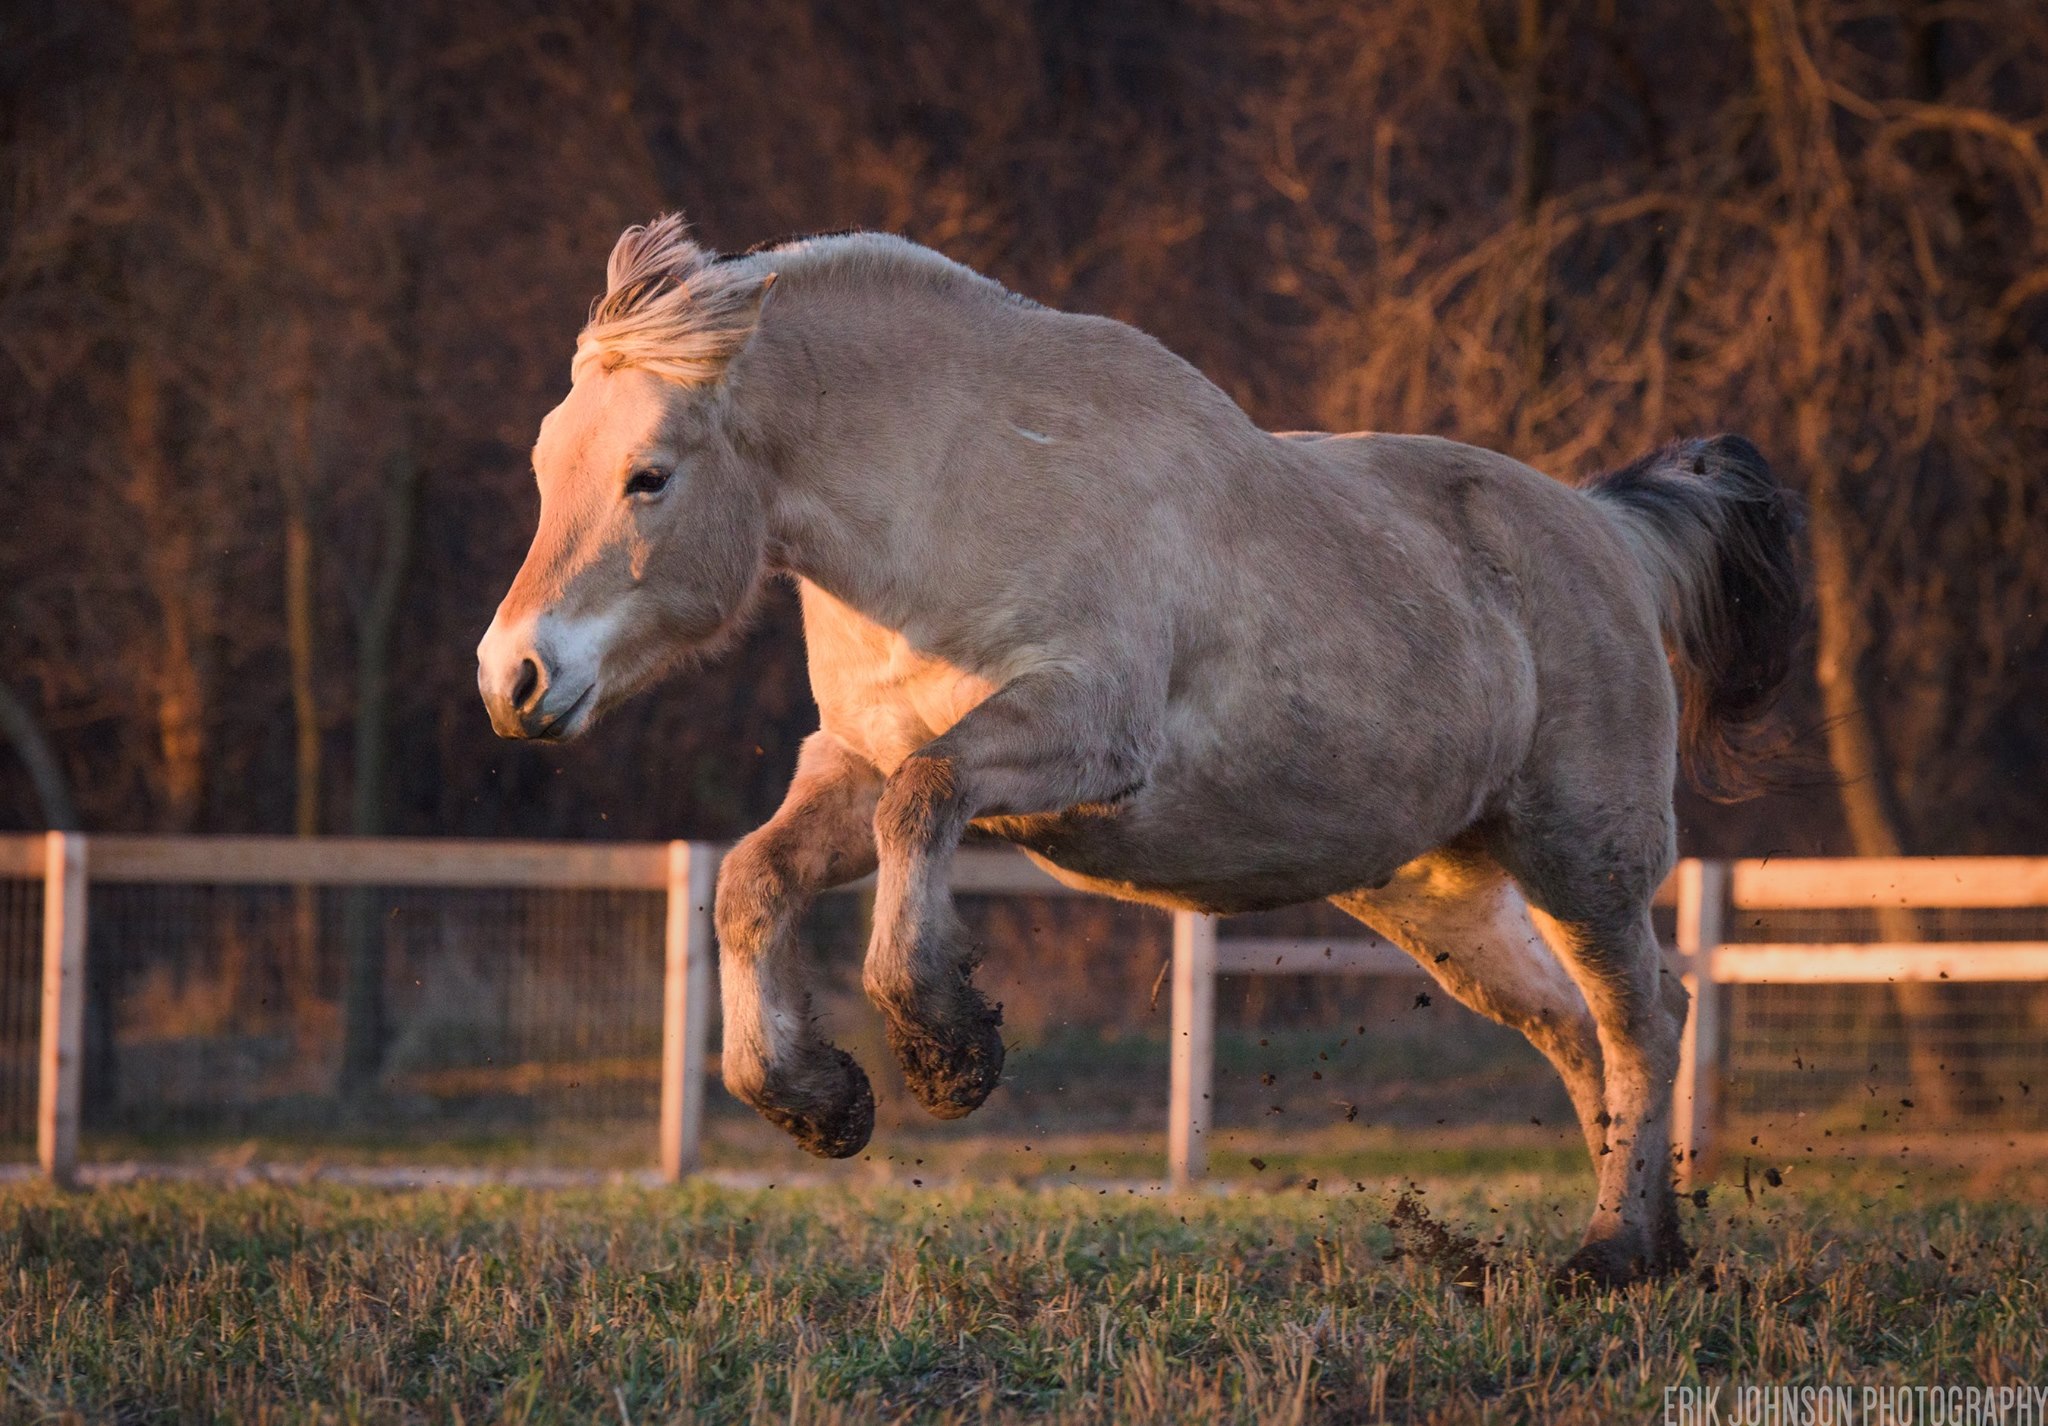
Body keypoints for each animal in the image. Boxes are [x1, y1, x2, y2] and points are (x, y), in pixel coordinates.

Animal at [475, 214, 1794, 1294]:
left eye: (648, 477)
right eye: (544, 468)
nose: (512, 678)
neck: (955, 489)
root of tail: (1607, 533)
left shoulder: (1073, 738)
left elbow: (925, 800)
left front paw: (944, 1048)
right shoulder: (847, 767)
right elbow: (756, 877)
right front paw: (817, 1102)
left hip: (1581, 856)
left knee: (1644, 1020)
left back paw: (1612, 1254)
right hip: (1435, 897)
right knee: (1577, 1034)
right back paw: (1647, 1245)